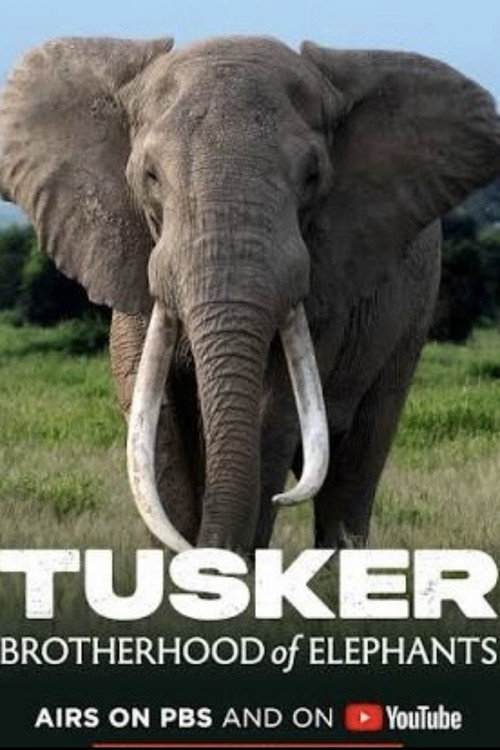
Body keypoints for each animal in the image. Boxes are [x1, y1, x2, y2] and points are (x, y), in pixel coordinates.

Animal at [0, 36, 499, 554]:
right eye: (150, 177)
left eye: (312, 177)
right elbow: (153, 416)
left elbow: (271, 415)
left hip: (411, 318)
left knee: (357, 463)